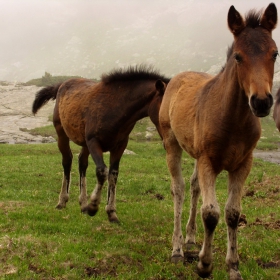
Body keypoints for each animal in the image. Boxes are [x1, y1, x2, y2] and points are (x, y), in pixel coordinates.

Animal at [32, 65, 168, 223]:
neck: (115, 108)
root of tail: (62, 84)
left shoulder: (120, 146)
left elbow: (113, 175)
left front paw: (111, 212)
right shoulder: (93, 142)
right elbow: (102, 171)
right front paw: (93, 206)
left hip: (84, 143)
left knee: (82, 162)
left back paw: (83, 204)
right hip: (62, 134)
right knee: (67, 161)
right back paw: (62, 201)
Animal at [159, 2, 276, 280]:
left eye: (275, 54)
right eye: (238, 56)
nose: (261, 102)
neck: (232, 119)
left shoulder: (243, 164)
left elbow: (232, 213)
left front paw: (233, 266)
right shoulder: (208, 162)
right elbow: (211, 213)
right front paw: (204, 264)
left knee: (193, 187)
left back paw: (191, 239)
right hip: (172, 144)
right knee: (179, 189)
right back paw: (178, 249)